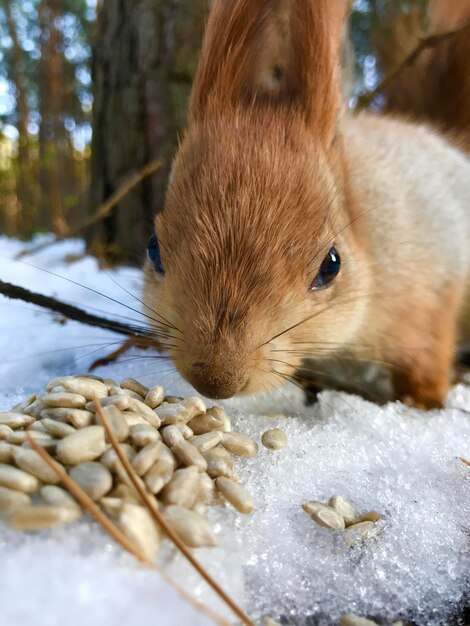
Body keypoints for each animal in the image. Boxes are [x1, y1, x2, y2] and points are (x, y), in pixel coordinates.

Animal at [142, 0, 470, 408]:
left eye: (331, 265)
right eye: (154, 249)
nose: (216, 381)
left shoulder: (429, 294)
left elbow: (427, 358)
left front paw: (422, 405)